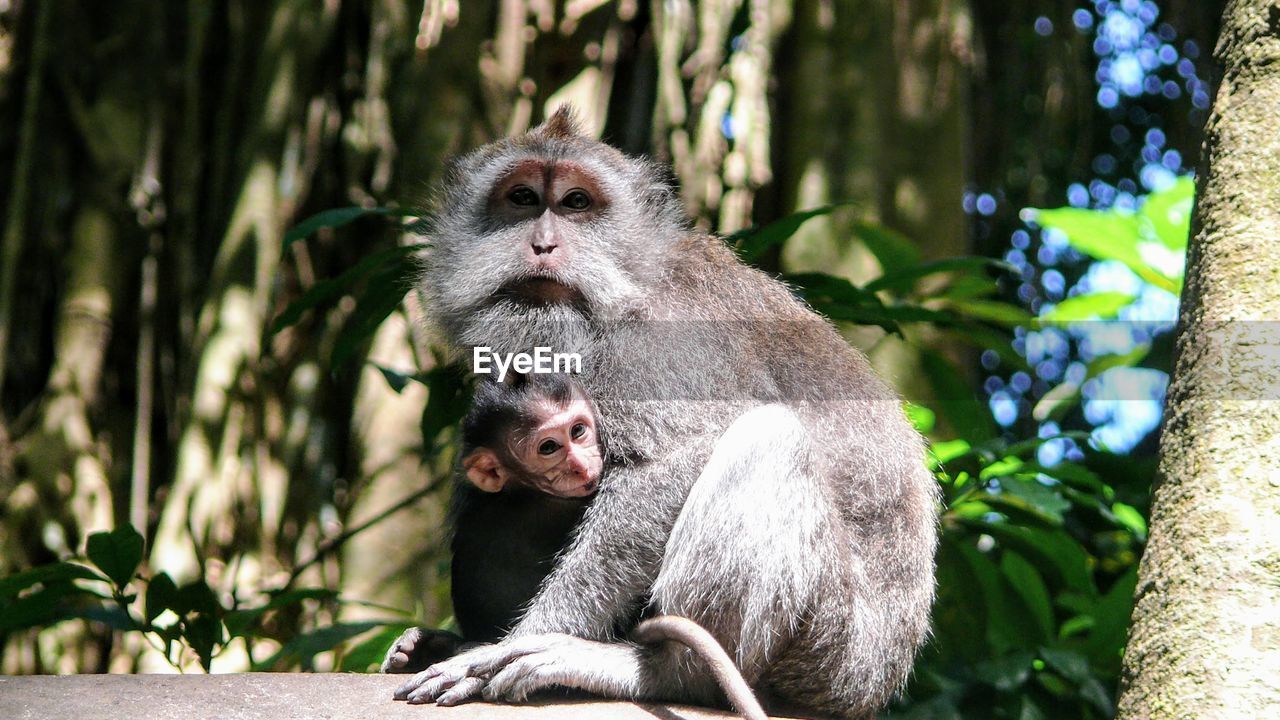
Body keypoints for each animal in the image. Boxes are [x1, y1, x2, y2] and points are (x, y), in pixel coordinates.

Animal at [389, 107, 942, 717]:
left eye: (576, 202)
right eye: (523, 198)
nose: (543, 244)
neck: (619, 295)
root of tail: (874, 681)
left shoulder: (661, 341)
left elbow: (672, 463)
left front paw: (518, 642)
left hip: (828, 646)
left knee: (769, 438)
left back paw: (665, 670)